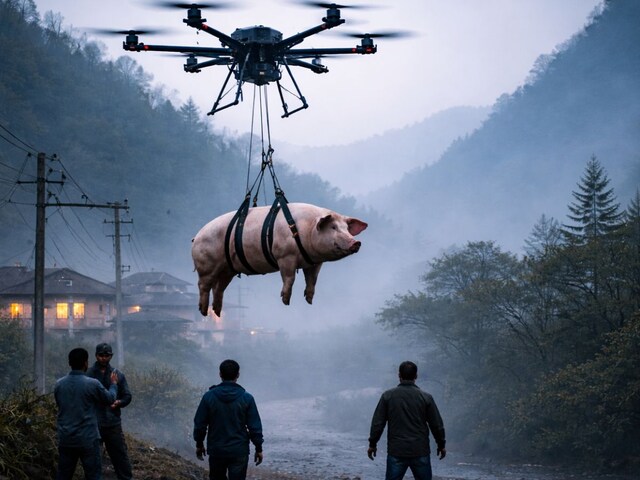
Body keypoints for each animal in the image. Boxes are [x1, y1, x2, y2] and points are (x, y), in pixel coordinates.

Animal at [191, 202, 368, 317]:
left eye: (346, 228)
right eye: (333, 227)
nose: (356, 242)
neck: (305, 229)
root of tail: (196, 236)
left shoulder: (315, 262)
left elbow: (312, 279)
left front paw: (309, 300)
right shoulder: (285, 256)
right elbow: (289, 277)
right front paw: (285, 301)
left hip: (227, 270)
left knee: (219, 288)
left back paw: (217, 312)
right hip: (206, 264)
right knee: (203, 285)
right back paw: (203, 311)